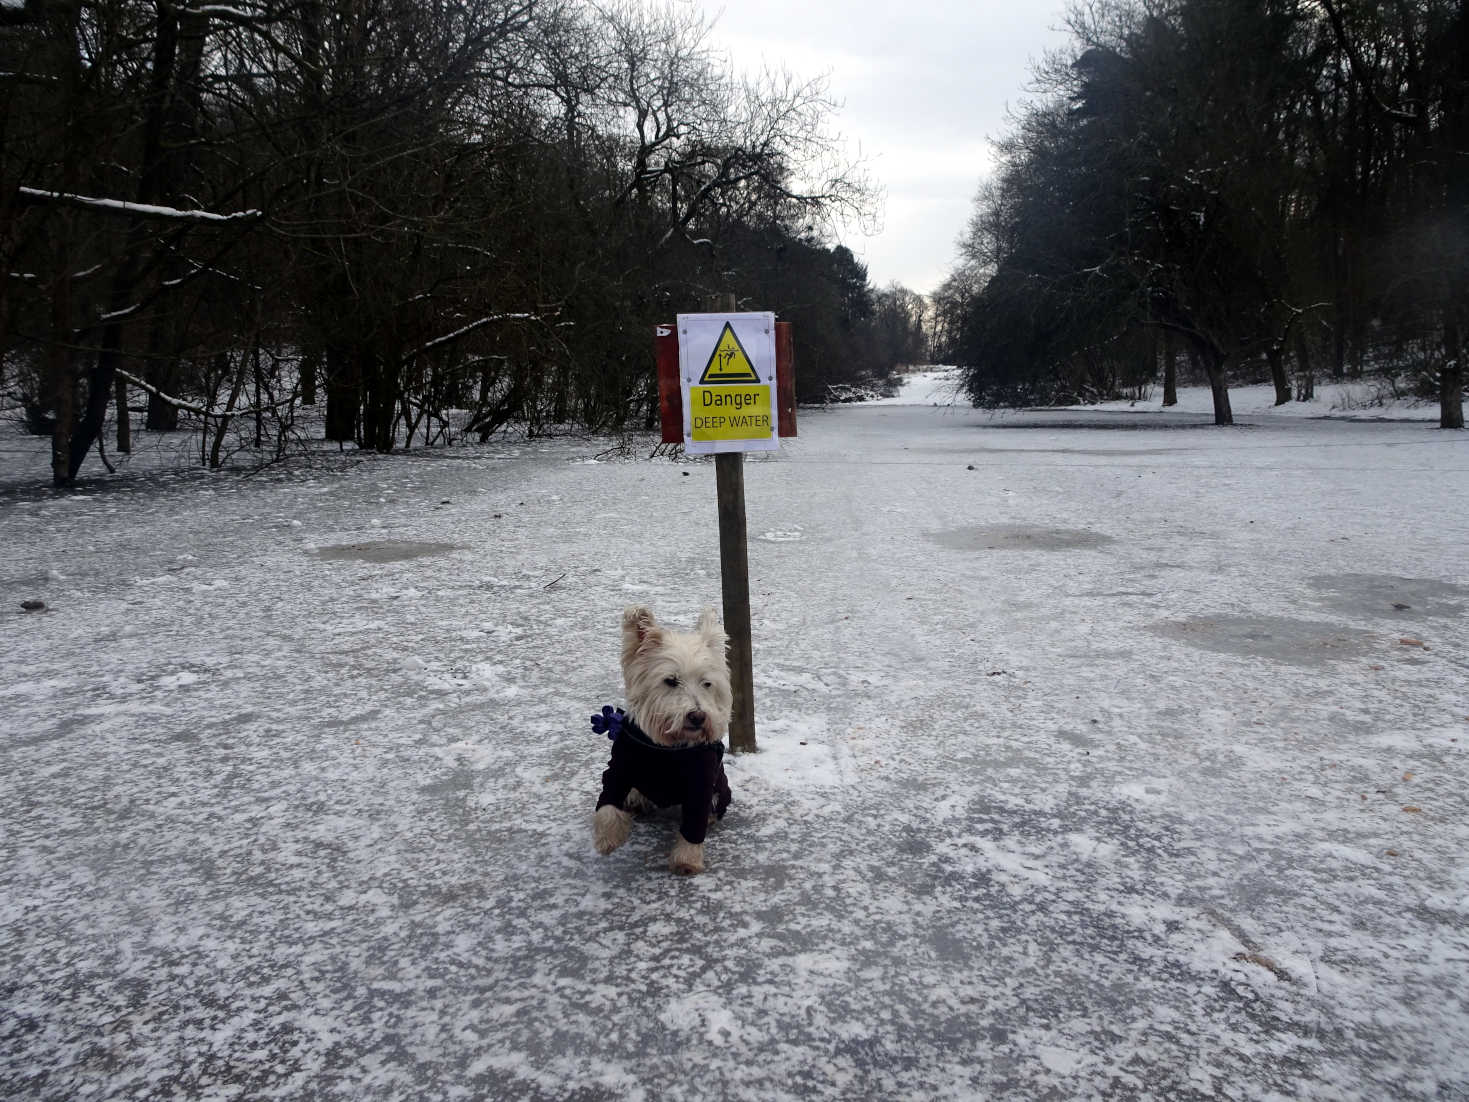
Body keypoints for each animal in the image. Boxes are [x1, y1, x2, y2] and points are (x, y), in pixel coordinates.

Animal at [590, 608, 734, 875]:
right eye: (671, 680)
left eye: (706, 683)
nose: (698, 716)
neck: (666, 749)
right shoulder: (619, 769)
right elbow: (608, 804)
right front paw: (608, 838)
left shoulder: (700, 784)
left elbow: (694, 825)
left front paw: (686, 860)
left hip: (721, 789)